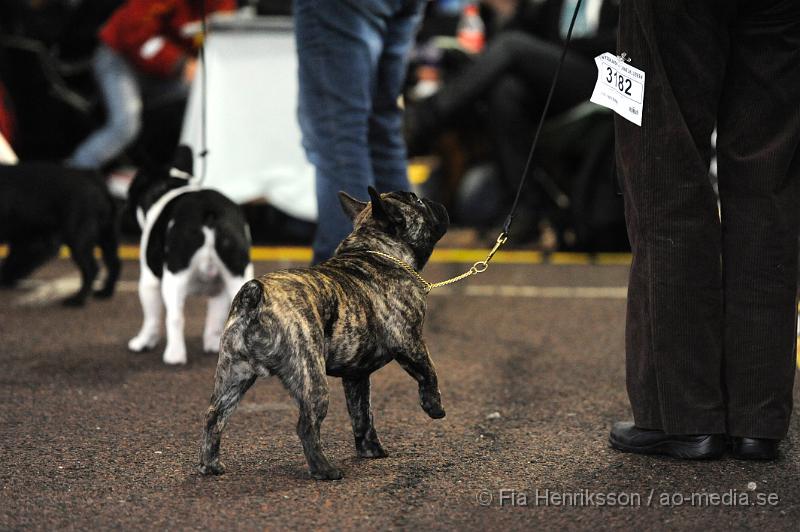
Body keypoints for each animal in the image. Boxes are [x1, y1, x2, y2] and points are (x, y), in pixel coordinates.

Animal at [0, 161, 120, 308]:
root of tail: (93, 178)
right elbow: (12, 260)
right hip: (107, 236)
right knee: (114, 263)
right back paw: (106, 292)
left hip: (78, 239)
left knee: (91, 269)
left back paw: (77, 300)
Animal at [200, 188, 450, 482]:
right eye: (417, 201)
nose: (434, 202)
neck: (374, 250)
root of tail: (254, 297)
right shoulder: (410, 342)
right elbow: (428, 373)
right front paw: (434, 407)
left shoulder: (356, 377)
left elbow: (362, 415)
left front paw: (371, 450)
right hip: (312, 377)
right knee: (306, 426)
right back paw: (324, 470)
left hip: (233, 375)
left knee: (215, 416)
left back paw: (209, 465)